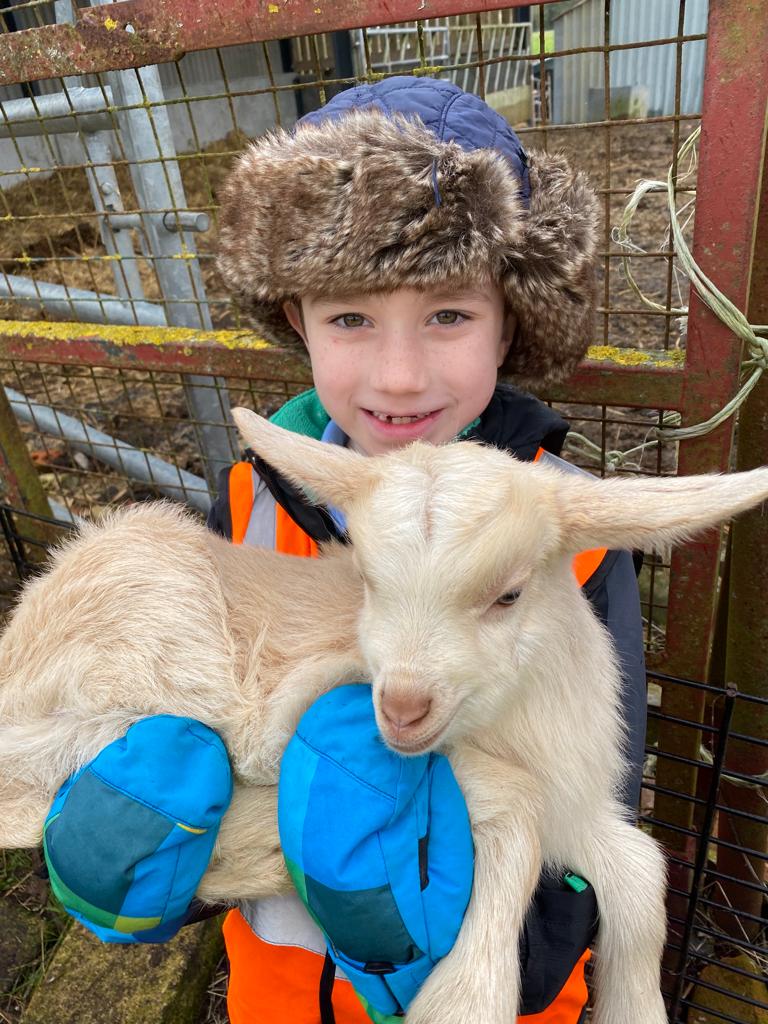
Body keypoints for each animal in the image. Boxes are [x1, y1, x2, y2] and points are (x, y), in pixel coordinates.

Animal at [1, 406, 767, 1024]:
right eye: (369, 583)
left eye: (510, 594)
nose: (399, 708)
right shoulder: (379, 742)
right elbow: (514, 807)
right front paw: (463, 1000)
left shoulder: (571, 806)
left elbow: (641, 866)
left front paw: (634, 1006)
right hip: (151, 616)